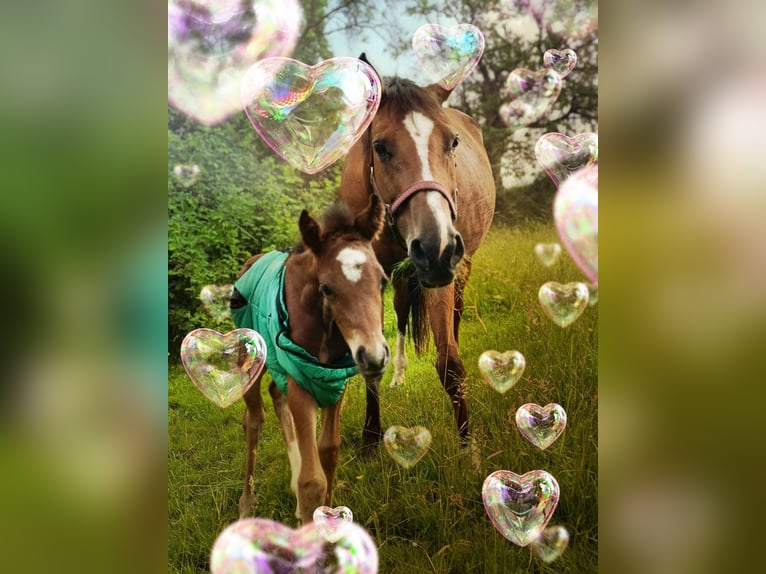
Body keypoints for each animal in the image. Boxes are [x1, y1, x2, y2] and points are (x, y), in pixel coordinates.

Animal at [230, 194, 389, 523]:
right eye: (327, 288)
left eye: (382, 281)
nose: (374, 356)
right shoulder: (301, 381)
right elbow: (312, 480)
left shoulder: (331, 382)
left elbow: (328, 451)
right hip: (251, 361)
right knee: (253, 420)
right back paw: (246, 505)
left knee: (276, 395)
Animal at [338, 61, 496, 452]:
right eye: (380, 147)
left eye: (452, 142)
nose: (436, 246)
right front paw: (370, 439)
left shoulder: (442, 275)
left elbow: (449, 364)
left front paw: (468, 450)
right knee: (402, 312)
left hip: (460, 269)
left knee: (455, 316)